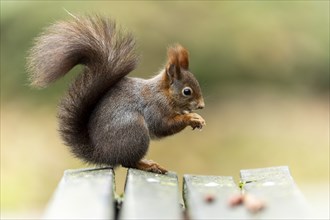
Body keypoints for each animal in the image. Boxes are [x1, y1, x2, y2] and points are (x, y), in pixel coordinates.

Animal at [27, 14, 205, 174]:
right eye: (187, 91)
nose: (202, 106)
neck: (164, 93)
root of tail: (103, 153)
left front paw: (197, 118)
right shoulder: (154, 107)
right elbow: (163, 126)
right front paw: (190, 118)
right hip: (135, 130)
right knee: (128, 162)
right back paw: (148, 165)